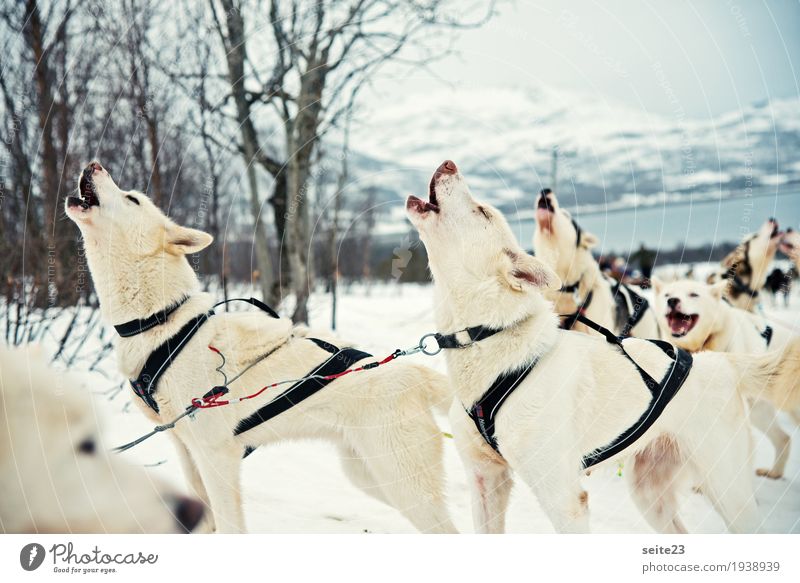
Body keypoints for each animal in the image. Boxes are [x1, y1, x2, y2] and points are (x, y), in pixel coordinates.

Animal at [652, 280, 796, 482]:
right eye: (667, 294)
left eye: (693, 294)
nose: (672, 301)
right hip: (759, 411)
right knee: (783, 438)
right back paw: (775, 472)